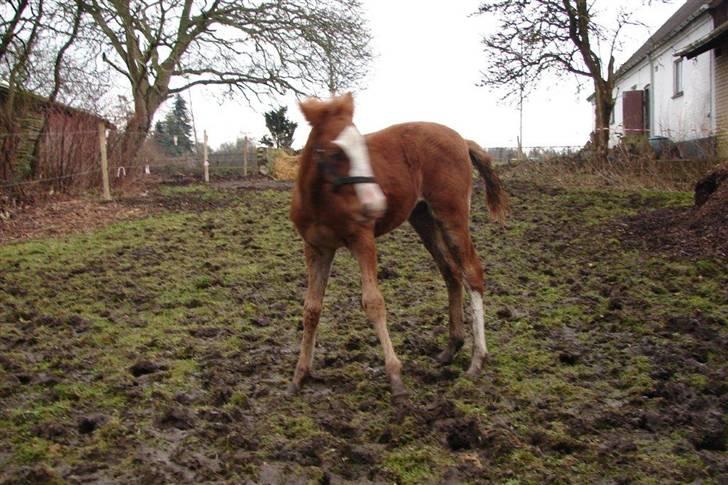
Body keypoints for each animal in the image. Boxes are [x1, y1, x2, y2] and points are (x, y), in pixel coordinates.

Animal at [288, 92, 510, 398]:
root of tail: (462, 141)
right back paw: (451, 348)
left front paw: (395, 377)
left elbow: (373, 302)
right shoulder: (316, 248)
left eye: (363, 147)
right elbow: (311, 309)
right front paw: (300, 375)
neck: (320, 200)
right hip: (423, 219)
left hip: (451, 216)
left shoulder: (363, 240)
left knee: (472, 273)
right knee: (451, 273)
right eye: (335, 152)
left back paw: (477, 361)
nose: (375, 204)